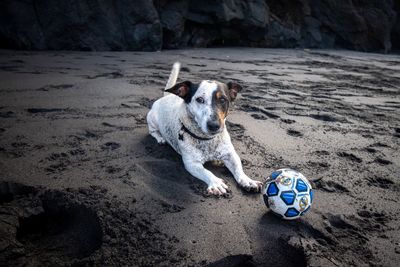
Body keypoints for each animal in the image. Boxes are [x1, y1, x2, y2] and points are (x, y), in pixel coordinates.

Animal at [147, 62, 262, 197]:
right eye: (199, 99)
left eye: (223, 99)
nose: (214, 125)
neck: (207, 140)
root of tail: (167, 96)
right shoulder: (191, 163)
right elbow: (206, 172)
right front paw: (216, 183)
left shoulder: (230, 154)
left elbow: (239, 168)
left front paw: (247, 181)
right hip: (152, 119)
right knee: (153, 131)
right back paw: (160, 138)